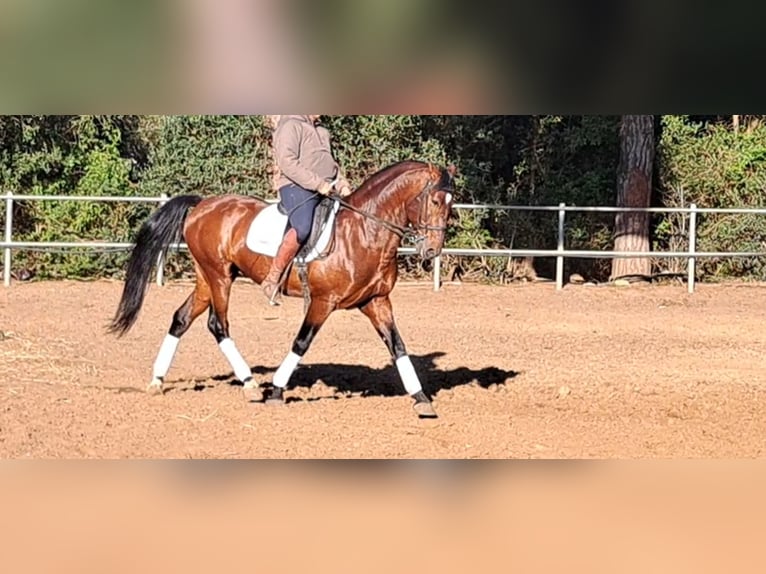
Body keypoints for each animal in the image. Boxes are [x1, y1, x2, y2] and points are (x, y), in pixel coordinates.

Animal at [108, 161, 456, 418]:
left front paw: (421, 398)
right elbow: (301, 342)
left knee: (181, 318)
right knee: (218, 324)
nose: (432, 251)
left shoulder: (377, 301)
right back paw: (250, 384)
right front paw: (276, 390)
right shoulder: (322, 302)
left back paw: (157, 380)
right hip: (219, 277)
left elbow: (397, 347)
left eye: (451, 205)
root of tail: (203, 204)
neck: (363, 233)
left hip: (207, 278)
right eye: (435, 201)